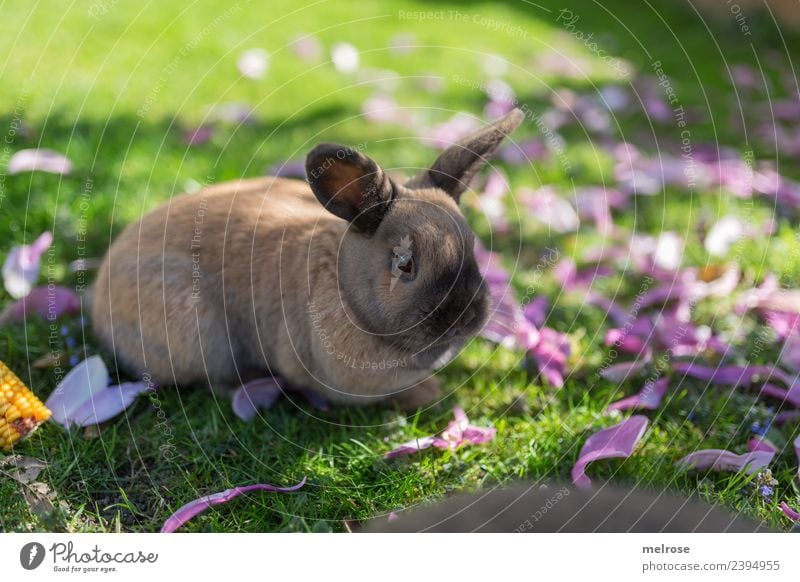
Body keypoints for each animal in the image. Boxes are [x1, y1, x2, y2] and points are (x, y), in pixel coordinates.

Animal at [92, 109, 524, 410]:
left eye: (472, 246)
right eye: (404, 263)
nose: (464, 319)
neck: (344, 289)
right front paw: (430, 394)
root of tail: (99, 296)